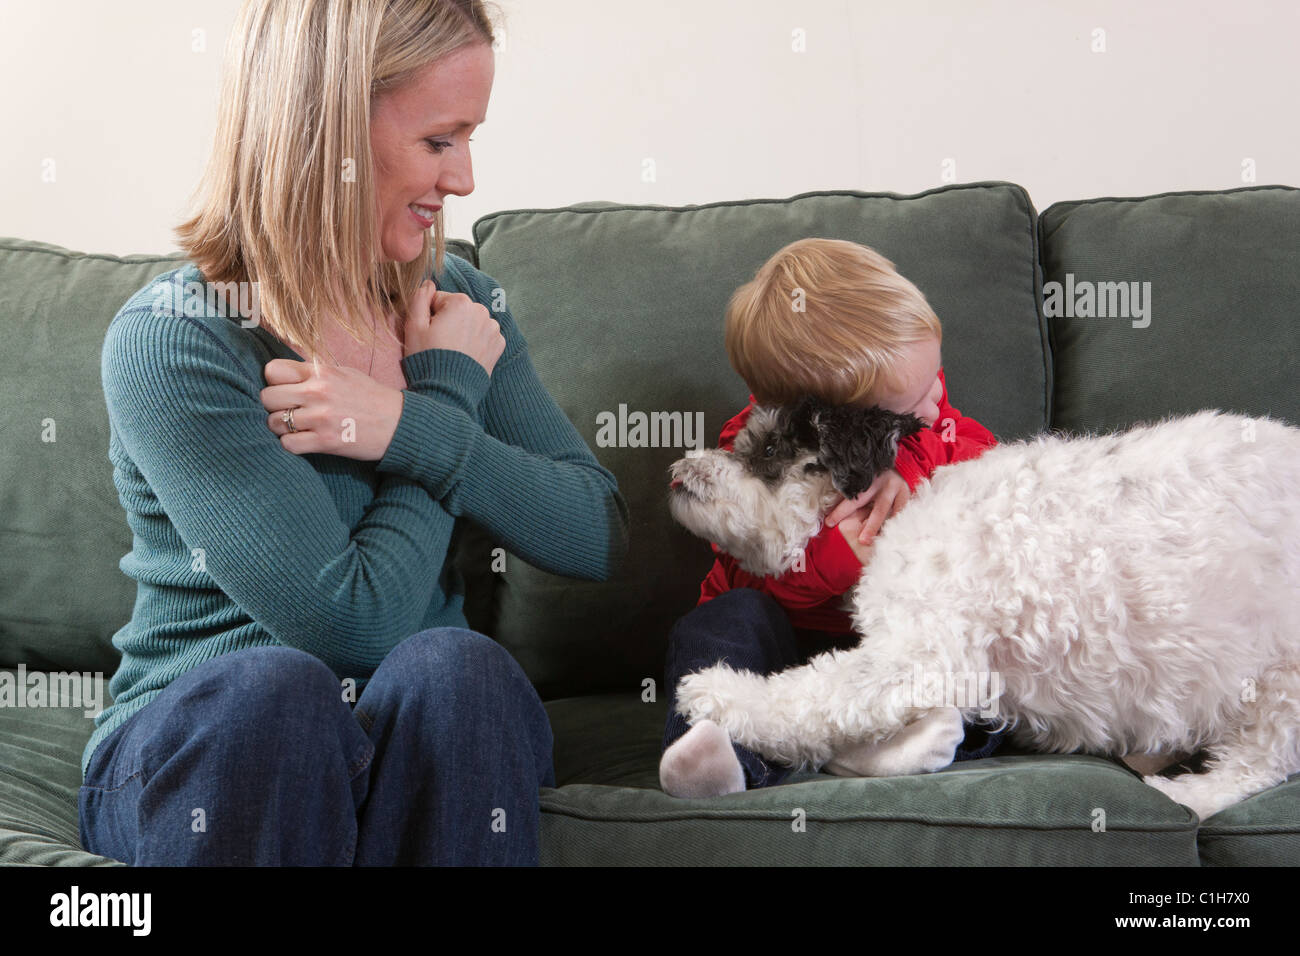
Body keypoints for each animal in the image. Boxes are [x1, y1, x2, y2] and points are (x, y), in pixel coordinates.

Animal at [670, 400, 1300, 816]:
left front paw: (718, 692)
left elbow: (809, 695)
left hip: (1280, 680)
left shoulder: (922, 654)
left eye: (770, 447)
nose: (677, 470)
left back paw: (1187, 794)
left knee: (1261, 762)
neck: (901, 512)